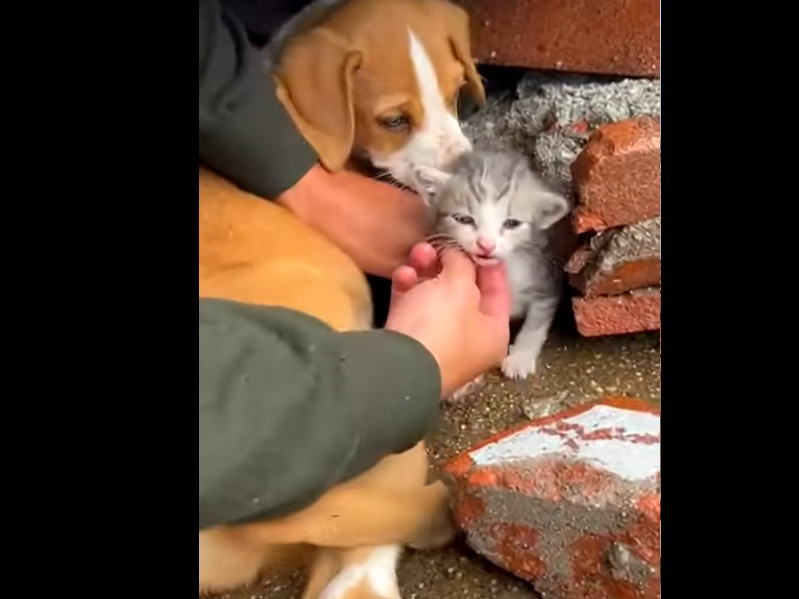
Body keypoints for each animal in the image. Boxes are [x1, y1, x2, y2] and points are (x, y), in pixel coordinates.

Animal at [413, 150, 572, 382]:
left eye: (512, 223)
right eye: (463, 219)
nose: (486, 245)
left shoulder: (548, 280)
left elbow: (535, 324)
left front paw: (521, 356)